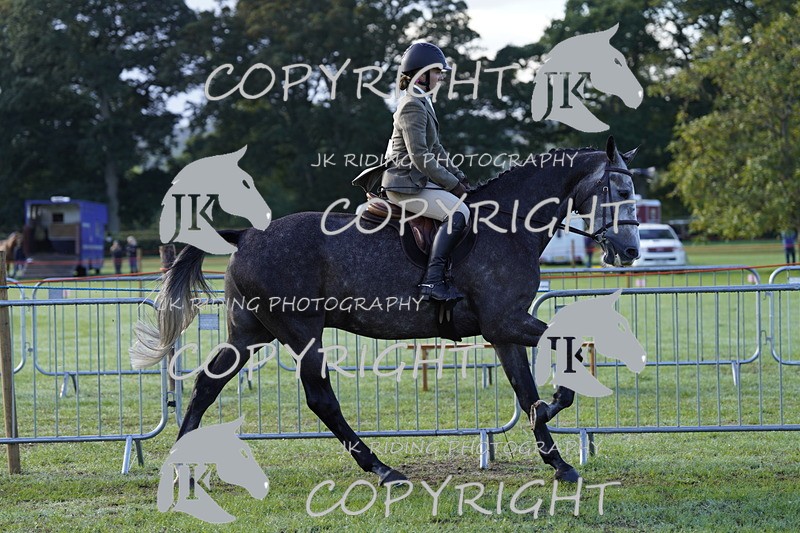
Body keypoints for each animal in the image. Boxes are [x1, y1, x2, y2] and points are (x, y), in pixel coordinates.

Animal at [131, 136, 640, 485]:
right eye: (618, 191)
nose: (631, 251)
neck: (509, 224)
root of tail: (245, 235)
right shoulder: (507, 321)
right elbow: (569, 348)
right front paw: (552, 409)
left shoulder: (502, 331)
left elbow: (525, 386)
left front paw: (557, 458)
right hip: (300, 330)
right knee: (320, 399)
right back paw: (381, 468)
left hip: (250, 331)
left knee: (207, 383)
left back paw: (181, 463)